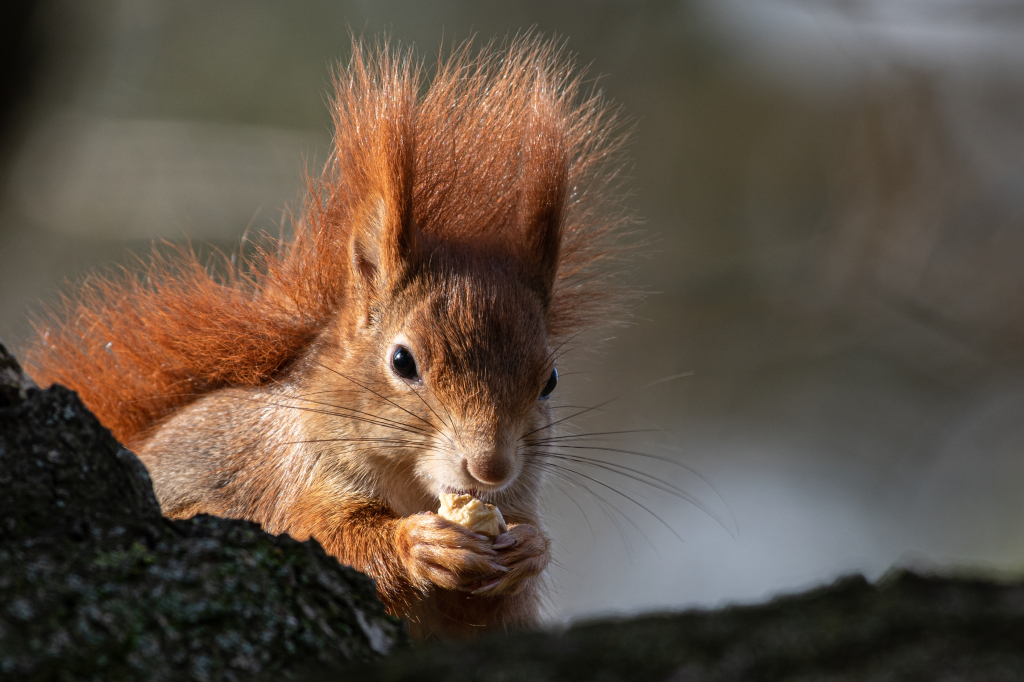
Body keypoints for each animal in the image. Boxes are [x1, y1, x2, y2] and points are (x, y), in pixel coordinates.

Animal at [25, 37, 630, 638]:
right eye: (402, 361)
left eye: (550, 379)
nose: (492, 468)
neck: (412, 488)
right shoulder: (295, 482)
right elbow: (325, 537)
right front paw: (416, 544)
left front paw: (530, 549)